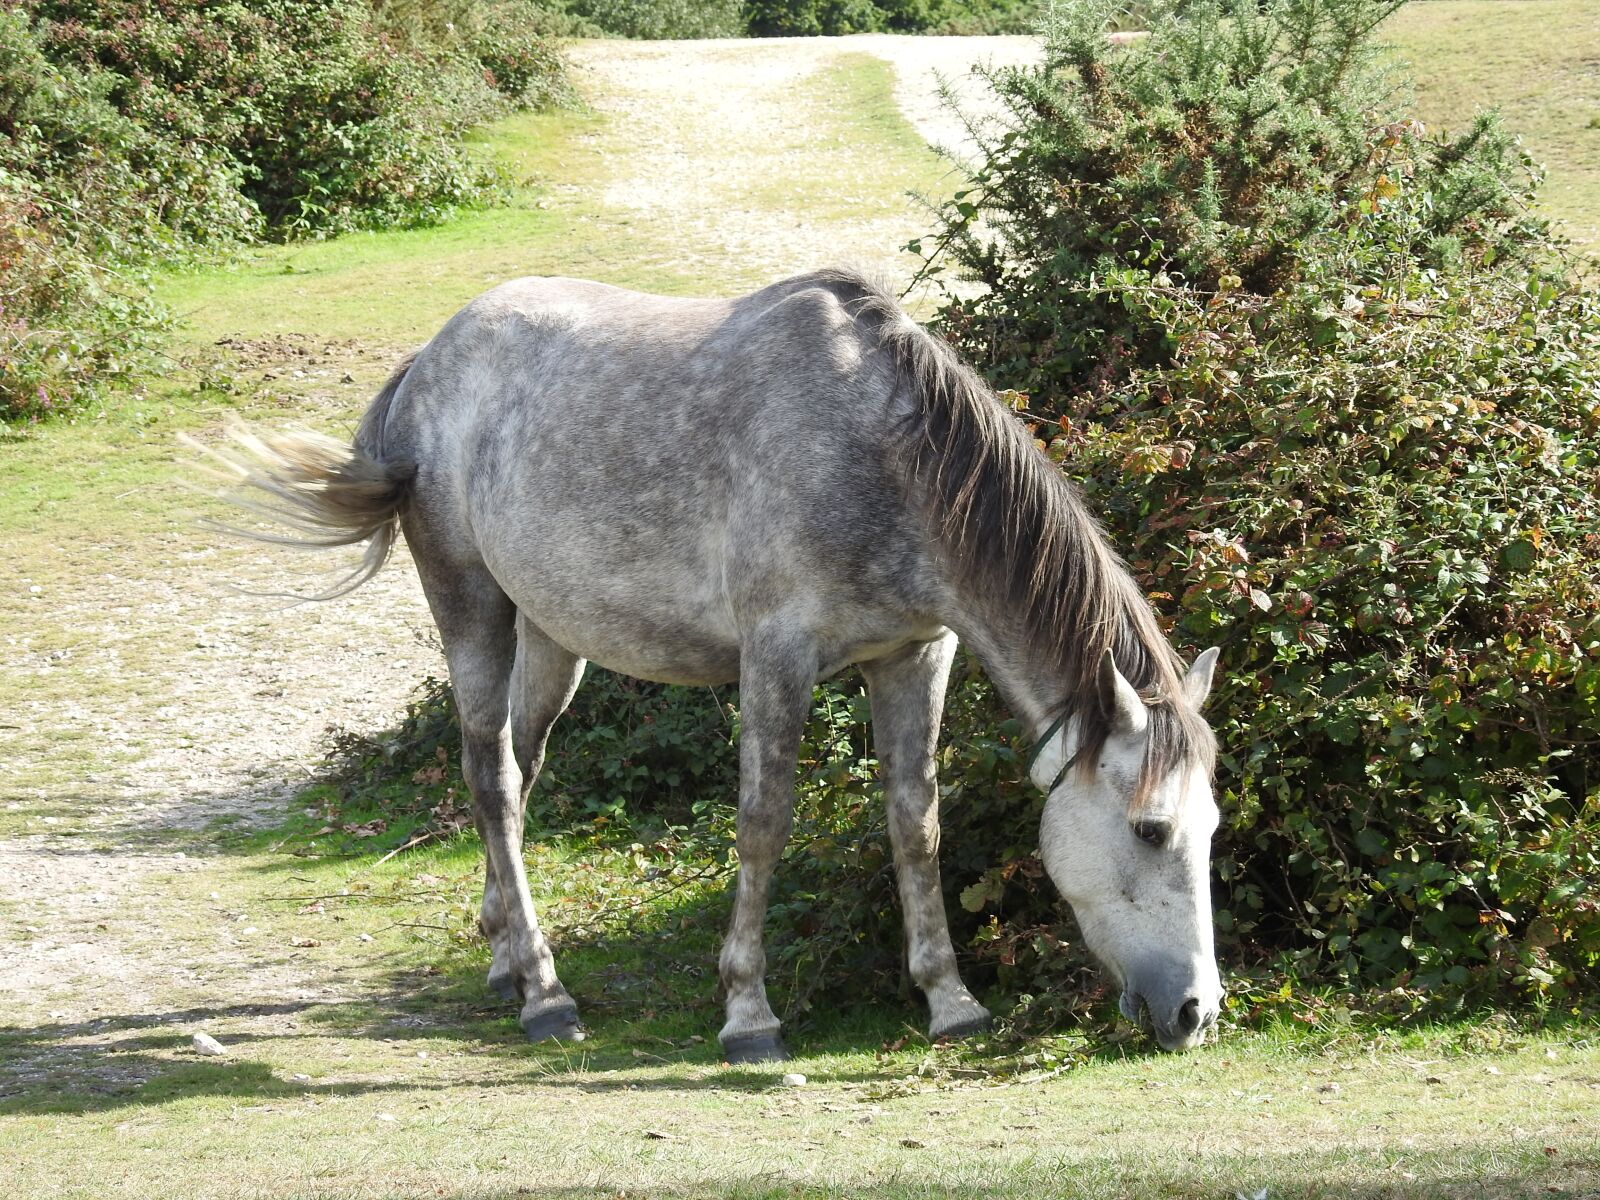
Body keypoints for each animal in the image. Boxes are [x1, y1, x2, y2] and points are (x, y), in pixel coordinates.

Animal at [199, 267, 1225, 1062]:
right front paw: (747, 1014)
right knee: (489, 779)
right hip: (471, 611)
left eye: (1210, 828)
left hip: (553, 641)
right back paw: (545, 995)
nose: (1196, 1012)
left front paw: (951, 1001)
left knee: (515, 774)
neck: (881, 455)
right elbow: (764, 824)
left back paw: (504, 956)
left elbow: (916, 826)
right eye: (1150, 831)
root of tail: (424, 365)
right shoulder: (778, 657)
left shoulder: (916, 654)